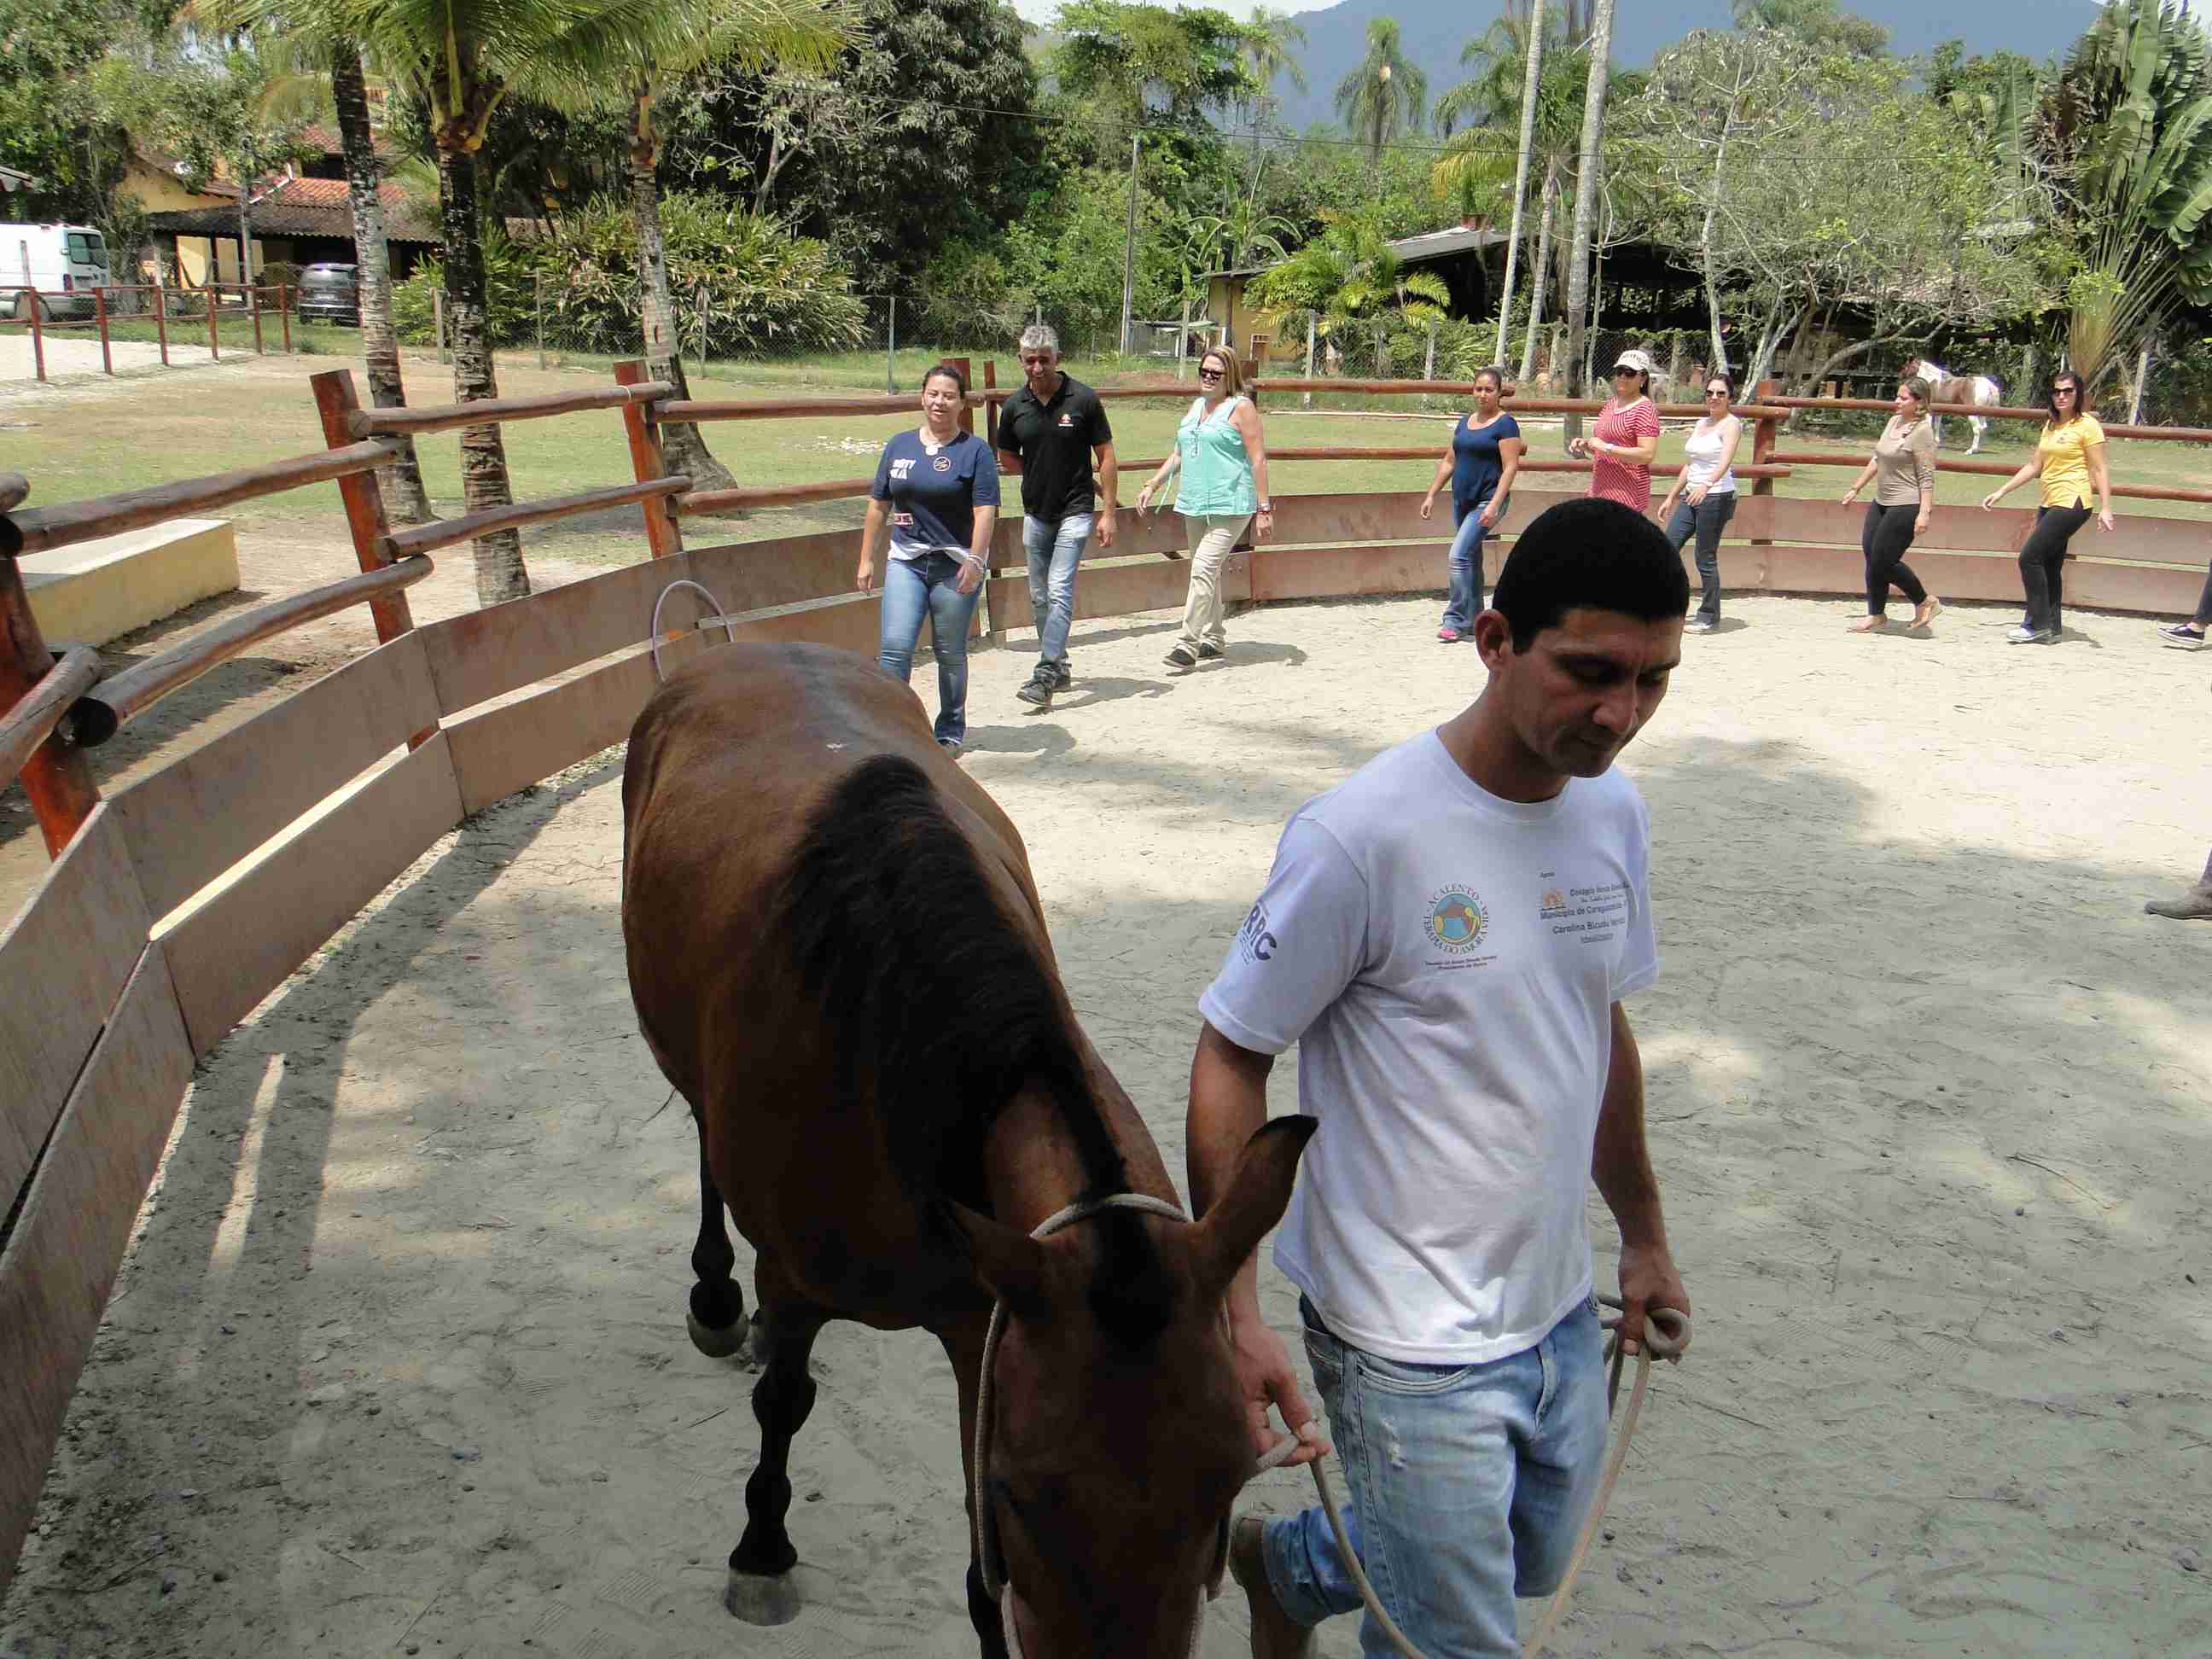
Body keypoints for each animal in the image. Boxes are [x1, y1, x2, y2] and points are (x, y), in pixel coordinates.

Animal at [623, 641, 1309, 1654]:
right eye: (1020, 1495)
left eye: (1228, 1480)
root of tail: (755, 647)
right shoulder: (797, 1281)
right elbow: (783, 1402)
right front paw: (762, 1551)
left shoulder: (981, 1324)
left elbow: (983, 1578)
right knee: (708, 1152)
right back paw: (715, 1297)